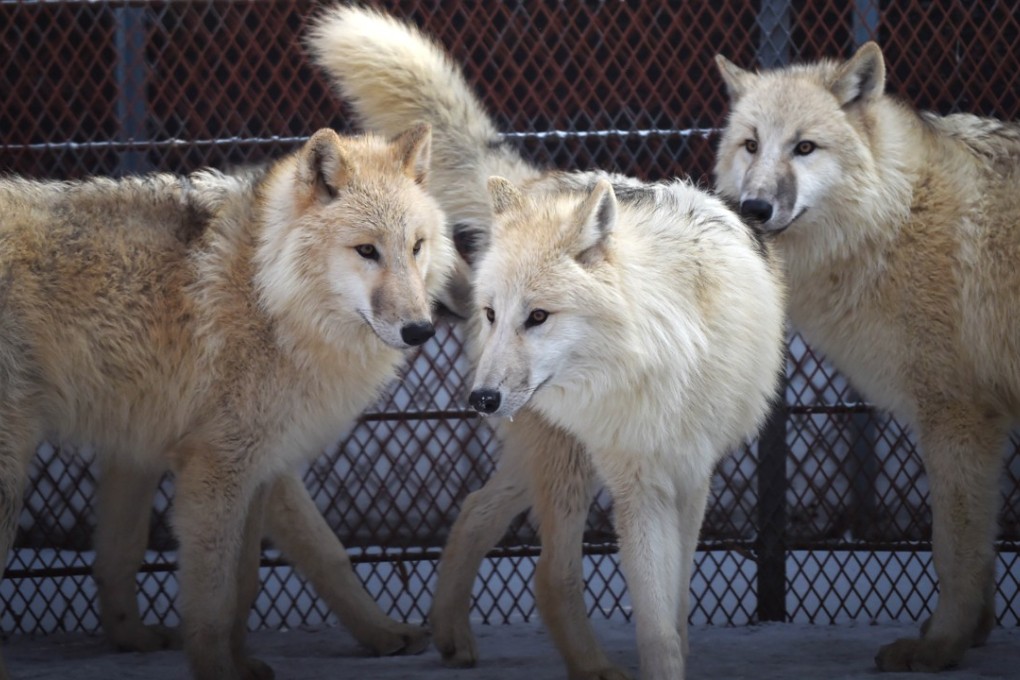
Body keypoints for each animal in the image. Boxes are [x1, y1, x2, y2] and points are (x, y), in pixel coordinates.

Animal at [0, 123, 454, 680]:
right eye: (366, 250)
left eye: (416, 247)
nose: (420, 331)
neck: (269, 295)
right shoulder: (217, 467)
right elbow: (214, 594)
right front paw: (217, 666)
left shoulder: (247, 462)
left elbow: (291, 564)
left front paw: (383, 633)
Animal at [308, 7, 786, 679]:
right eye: (493, 313)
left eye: (538, 316)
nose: (479, 398)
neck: (662, 353)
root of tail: (548, 182)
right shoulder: (638, 485)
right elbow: (655, 625)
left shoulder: (690, 478)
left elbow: (676, 612)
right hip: (565, 461)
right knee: (549, 573)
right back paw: (588, 665)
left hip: (544, 459)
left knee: (474, 510)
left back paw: (453, 638)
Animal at [713, 43, 1020, 672]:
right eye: (751, 144)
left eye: (805, 147)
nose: (753, 208)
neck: (899, 214)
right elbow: (978, 551)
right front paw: (971, 634)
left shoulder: (959, 418)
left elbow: (954, 550)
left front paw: (939, 648)